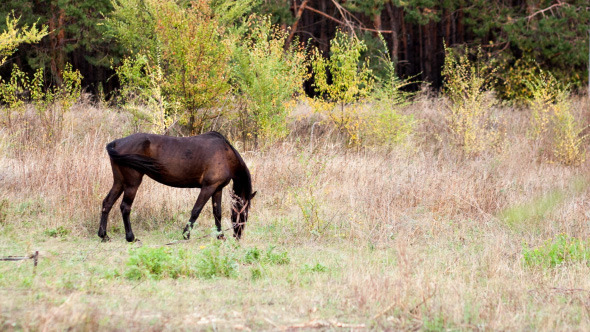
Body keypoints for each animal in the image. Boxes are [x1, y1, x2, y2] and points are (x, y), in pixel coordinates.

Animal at [97, 131, 256, 243]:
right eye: (245, 213)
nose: (238, 236)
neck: (225, 154)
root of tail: (116, 143)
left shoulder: (217, 189)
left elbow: (217, 213)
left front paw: (220, 236)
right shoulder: (208, 188)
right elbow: (196, 211)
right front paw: (186, 235)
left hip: (119, 182)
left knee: (107, 203)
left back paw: (104, 235)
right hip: (132, 184)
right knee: (125, 207)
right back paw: (131, 237)